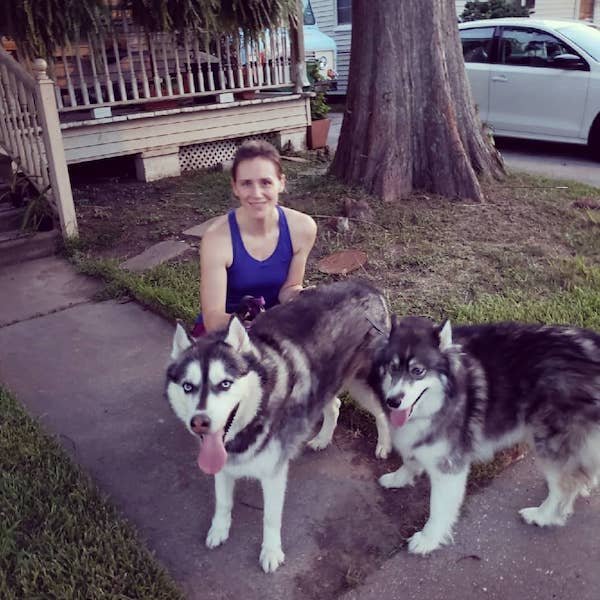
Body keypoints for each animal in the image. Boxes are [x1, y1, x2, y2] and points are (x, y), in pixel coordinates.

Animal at [165, 280, 390, 572]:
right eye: (188, 386)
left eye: (225, 383)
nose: (200, 423)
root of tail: (368, 286)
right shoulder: (223, 463)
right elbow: (223, 502)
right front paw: (219, 530)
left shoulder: (273, 475)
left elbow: (270, 518)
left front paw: (271, 551)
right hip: (324, 385)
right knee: (335, 405)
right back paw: (323, 438)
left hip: (362, 384)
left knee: (383, 411)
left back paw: (384, 444)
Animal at [370, 316, 600, 556]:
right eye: (392, 368)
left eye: (417, 371)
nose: (393, 401)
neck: (444, 397)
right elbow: (410, 459)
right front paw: (399, 478)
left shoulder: (449, 465)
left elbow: (438, 508)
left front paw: (428, 538)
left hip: (549, 441)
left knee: (563, 486)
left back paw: (542, 515)